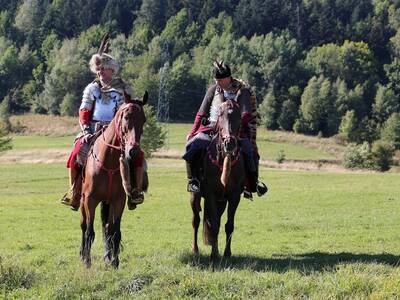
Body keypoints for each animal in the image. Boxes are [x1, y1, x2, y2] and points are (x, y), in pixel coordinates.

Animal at [79, 91, 148, 268]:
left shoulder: (118, 201)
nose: (133, 151)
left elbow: (114, 232)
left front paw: (114, 262)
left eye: (144, 119)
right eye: (126, 116)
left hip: (107, 202)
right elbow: (89, 231)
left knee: (107, 227)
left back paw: (107, 256)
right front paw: (87, 262)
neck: (108, 160)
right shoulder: (90, 200)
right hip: (83, 201)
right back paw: (83, 255)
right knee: (84, 226)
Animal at [190, 99, 245, 258]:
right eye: (220, 115)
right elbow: (212, 225)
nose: (229, 143)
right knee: (196, 220)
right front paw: (214, 254)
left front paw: (227, 252)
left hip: (222, 202)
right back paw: (195, 249)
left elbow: (228, 225)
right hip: (194, 196)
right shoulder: (210, 195)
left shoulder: (234, 197)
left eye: (239, 115)